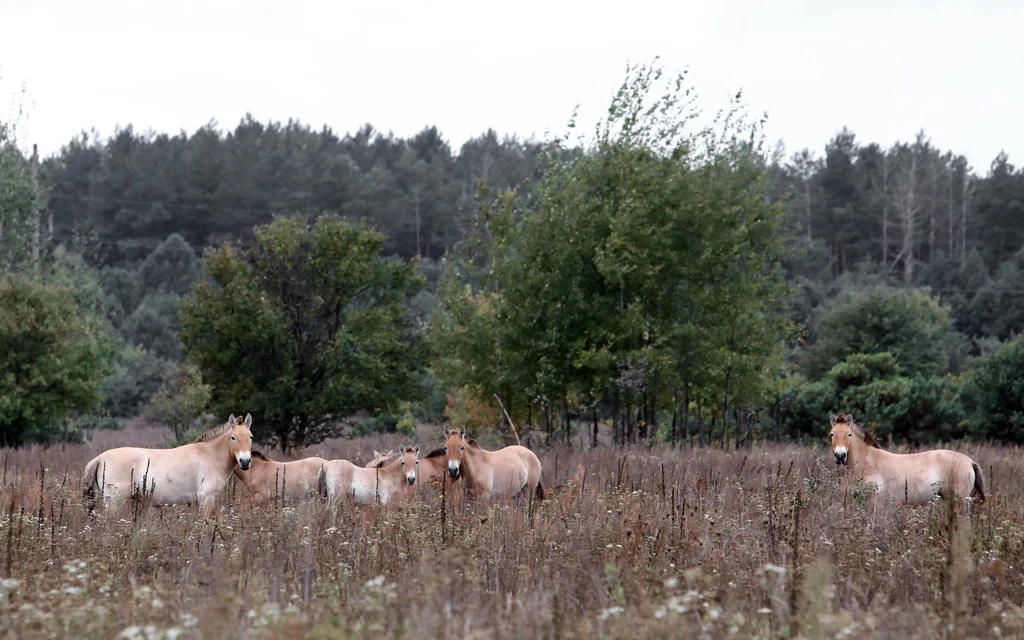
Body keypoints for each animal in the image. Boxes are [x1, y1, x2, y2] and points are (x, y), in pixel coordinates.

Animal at [81, 413, 253, 514]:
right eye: (233, 437)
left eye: (250, 436)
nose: (245, 461)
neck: (210, 455)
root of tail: (99, 458)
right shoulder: (206, 498)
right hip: (113, 502)